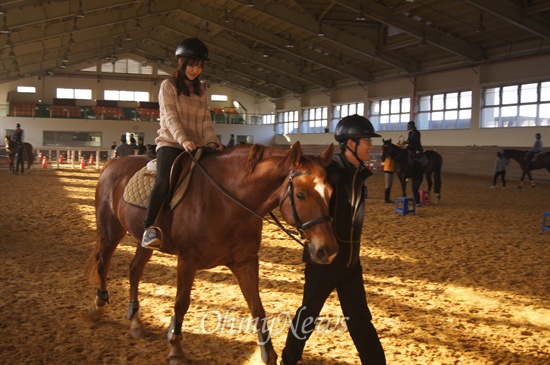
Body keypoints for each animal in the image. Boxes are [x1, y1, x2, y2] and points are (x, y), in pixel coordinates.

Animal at [85, 141, 340, 362]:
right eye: (300, 195)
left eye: (330, 191)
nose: (328, 249)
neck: (227, 201)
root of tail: (112, 164)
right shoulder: (187, 260)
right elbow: (181, 302)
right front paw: (175, 348)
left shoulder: (245, 262)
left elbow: (257, 306)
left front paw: (268, 354)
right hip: (110, 232)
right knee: (103, 264)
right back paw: (98, 307)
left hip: (143, 241)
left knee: (134, 270)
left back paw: (136, 320)